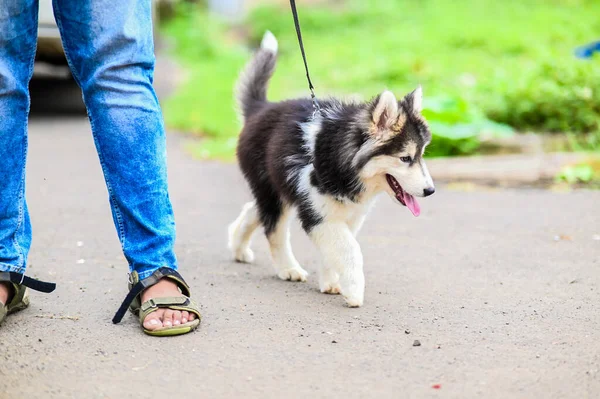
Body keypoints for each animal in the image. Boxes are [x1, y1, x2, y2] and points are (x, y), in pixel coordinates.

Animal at [227, 32, 434, 308]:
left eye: (421, 156)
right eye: (405, 158)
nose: (430, 190)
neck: (345, 164)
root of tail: (261, 108)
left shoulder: (348, 215)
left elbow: (335, 250)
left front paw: (333, 283)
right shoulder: (318, 213)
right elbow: (349, 250)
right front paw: (354, 291)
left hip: (279, 190)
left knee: (255, 210)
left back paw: (238, 247)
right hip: (273, 189)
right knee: (274, 229)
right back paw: (288, 268)